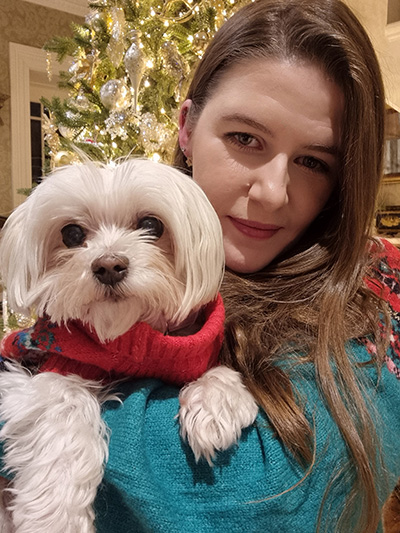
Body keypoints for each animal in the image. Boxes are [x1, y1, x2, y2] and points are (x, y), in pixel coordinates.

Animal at [0, 160, 258, 532]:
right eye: (72, 234)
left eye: (151, 225)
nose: (108, 266)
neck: (127, 333)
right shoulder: (31, 370)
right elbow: (67, 401)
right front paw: (56, 515)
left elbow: (213, 373)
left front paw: (216, 404)